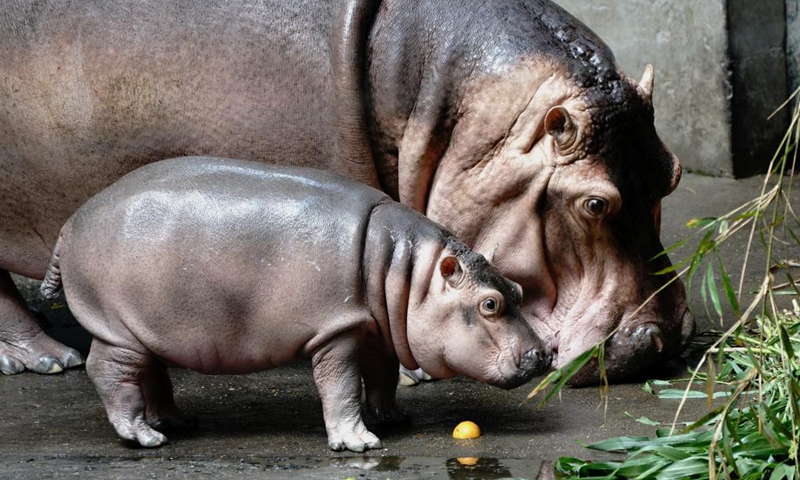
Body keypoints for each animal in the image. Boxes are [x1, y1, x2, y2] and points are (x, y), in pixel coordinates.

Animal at [39, 157, 552, 450]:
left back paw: (178, 421)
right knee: (110, 373)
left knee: (150, 372)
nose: (544, 354)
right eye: (490, 305)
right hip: (115, 328)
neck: (410, 273)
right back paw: (146, 437)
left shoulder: (373, 326)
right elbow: (341, 387)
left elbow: (382, 375)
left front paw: (393, 418)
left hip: (146, 328)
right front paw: (360, 443)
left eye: (517, 290)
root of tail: (68, 224)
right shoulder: (336, 331)